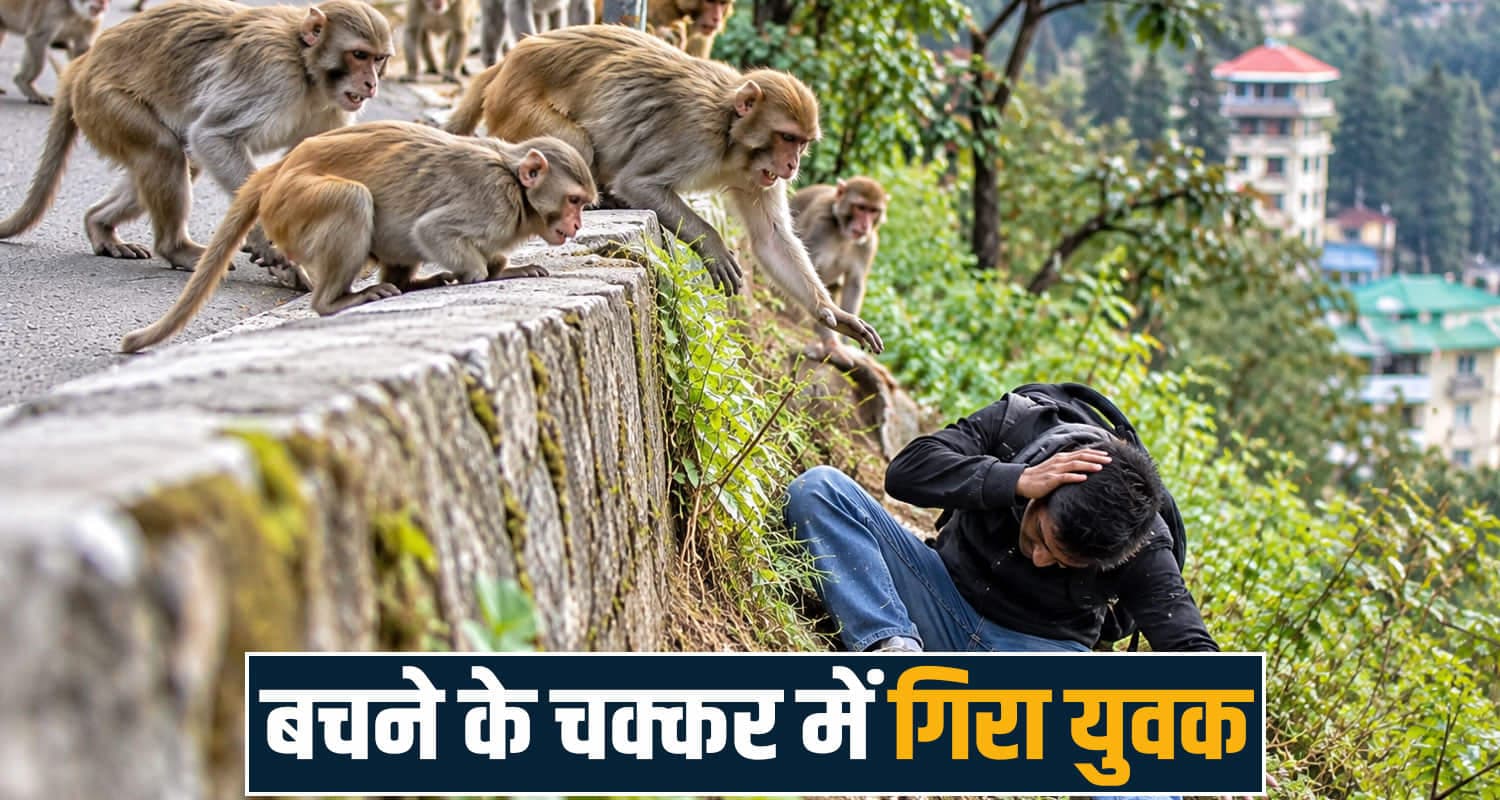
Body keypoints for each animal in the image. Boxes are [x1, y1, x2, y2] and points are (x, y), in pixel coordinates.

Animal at [0, 0, 393, 287]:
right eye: (359, 55)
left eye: (379, 59)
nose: (371, 83)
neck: (306, 68)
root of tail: (84, 64)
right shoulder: (272, 74)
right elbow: (214, 136)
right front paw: (266, 242)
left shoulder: (333, 109)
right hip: (104, 101)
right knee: (164, 151)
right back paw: (176, 249)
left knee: (180, 159)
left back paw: (100, 225)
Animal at [120, 121, 597, 353]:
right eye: (574, 200)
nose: (576, 225)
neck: (517, 187)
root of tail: (278, 171)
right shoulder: (490, 203)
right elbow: (434, 231)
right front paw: (484, 275)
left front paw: (509, 268)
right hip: (294, 208)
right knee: (352, 200)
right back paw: (336, 300)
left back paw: (410, 283)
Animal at [789, 177, 887, 360]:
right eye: (861, 207)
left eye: (873, 211)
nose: (865, 225)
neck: (842, 232)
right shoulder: (820, 225)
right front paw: (832, 344)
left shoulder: (868, 244)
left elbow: (853, 285)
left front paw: (846, 342)